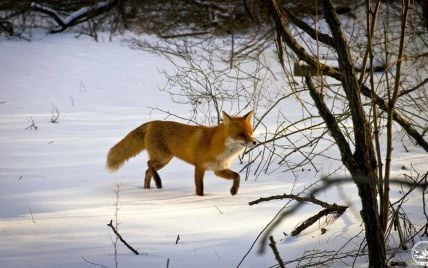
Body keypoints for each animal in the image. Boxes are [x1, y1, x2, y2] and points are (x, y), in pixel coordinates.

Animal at [105, 111, 256, 197]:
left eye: (251, 132)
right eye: (242, 134)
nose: (255, 142)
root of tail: (152, 122)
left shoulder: (219, 169)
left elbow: (237, 176)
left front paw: (234, 191)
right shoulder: (199, 166)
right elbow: (199, 187)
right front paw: (201, 199)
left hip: (164, 161)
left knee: (147, 171)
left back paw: (147, 189)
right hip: (163, 157)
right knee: (149, 164)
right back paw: (158, 181)